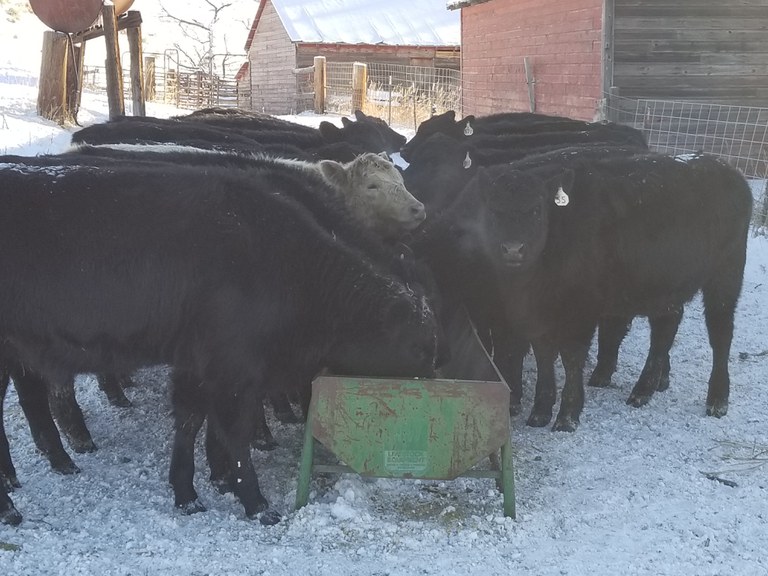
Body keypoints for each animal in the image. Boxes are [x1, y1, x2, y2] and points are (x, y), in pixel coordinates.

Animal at [0, 156, 438, 520]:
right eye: (419, 348)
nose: (433, 386)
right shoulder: (232, 365)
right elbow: (234, 431)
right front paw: (255, 502)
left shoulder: (198, 362)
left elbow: (191, 420)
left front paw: (189, 491)